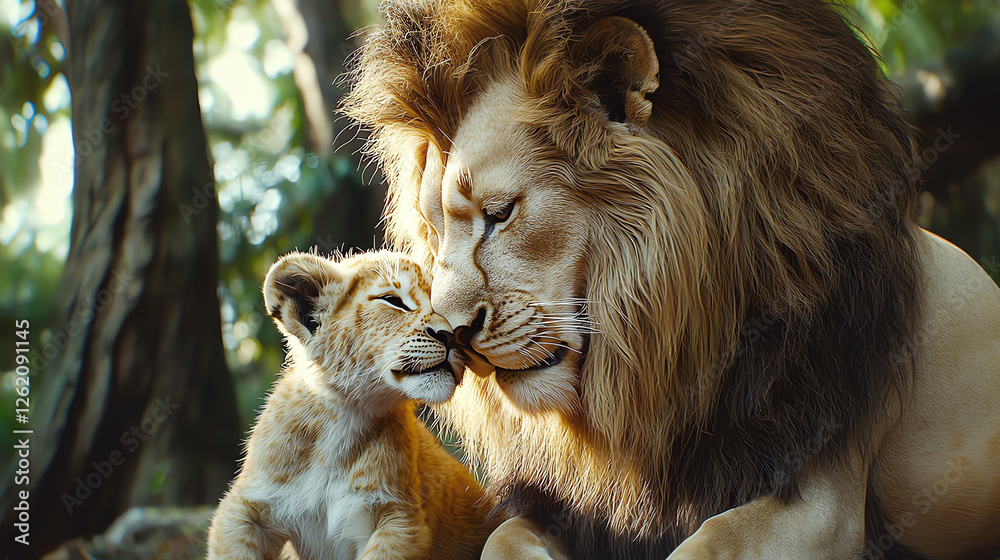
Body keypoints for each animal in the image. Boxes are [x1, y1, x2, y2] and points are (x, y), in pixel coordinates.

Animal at [343, 0, 1000, 558]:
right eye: (434, 232)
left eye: (501, 213)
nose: (451, 334)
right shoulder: (576, 511)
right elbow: (501, 541)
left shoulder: (821, 489)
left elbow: (708, 543)